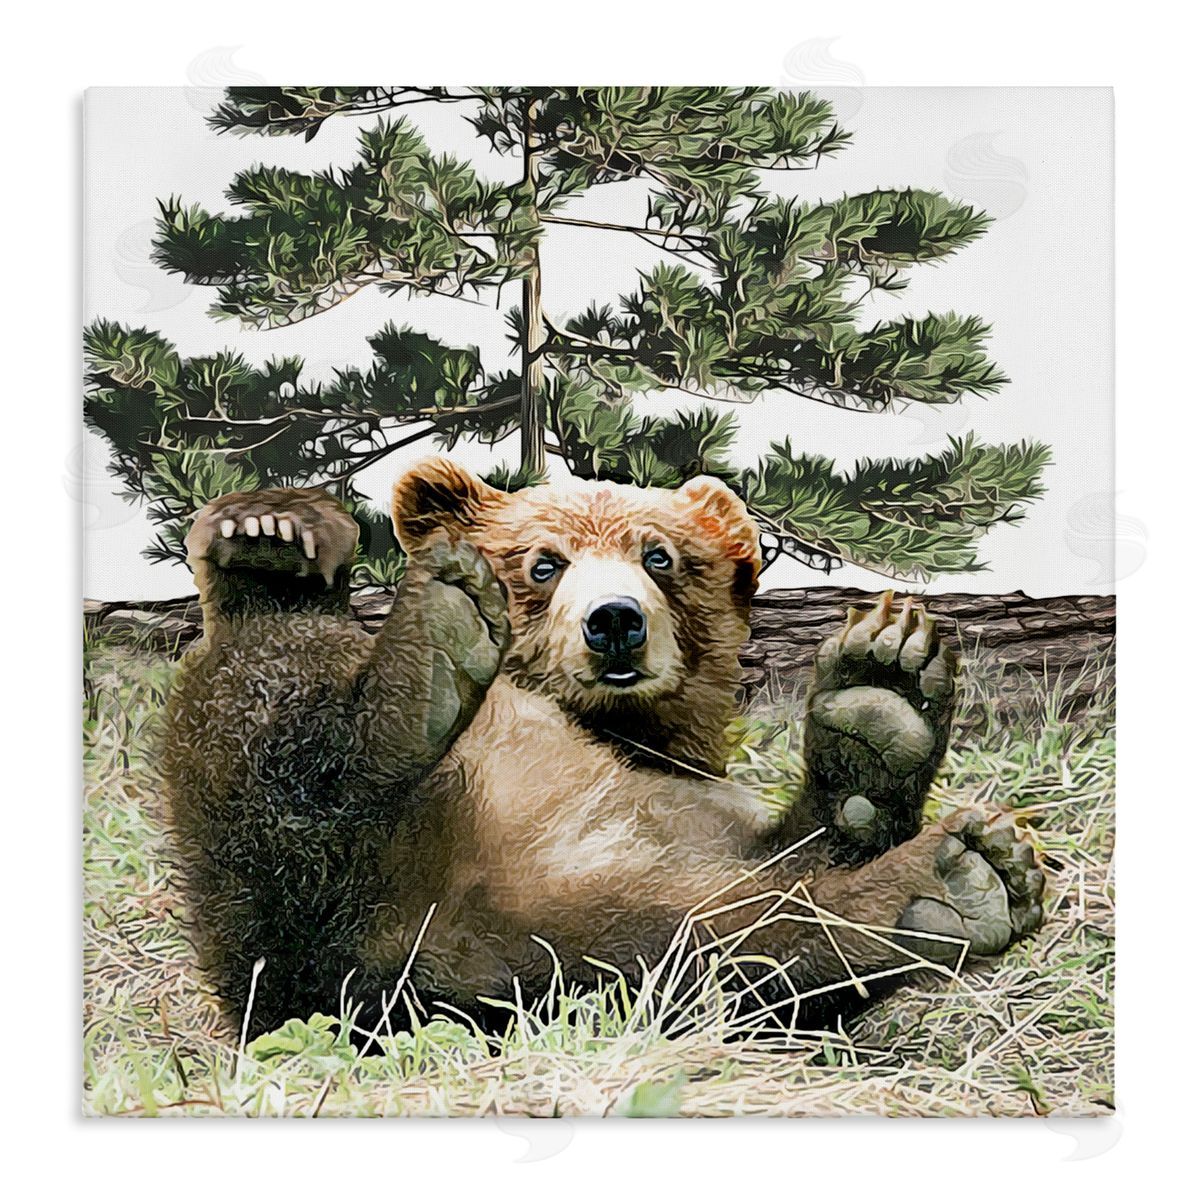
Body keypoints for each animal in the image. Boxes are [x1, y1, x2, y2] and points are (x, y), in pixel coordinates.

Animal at [162, 458, 1044, 1042]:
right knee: (266, 711)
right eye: (543, 562)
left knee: (717, 947)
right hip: (296, 895)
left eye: (659, 554)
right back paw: (298, 562)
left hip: (541, 944)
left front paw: (881, 700)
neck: (615, 730)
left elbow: (787, 869)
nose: (615, 619)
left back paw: (947, 878)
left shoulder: (686, 806)